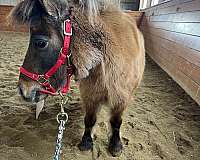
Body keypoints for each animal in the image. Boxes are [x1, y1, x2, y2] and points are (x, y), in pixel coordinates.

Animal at [9, 0, 145, 157]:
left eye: (41, 43)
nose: (22, 90)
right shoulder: (91, 94)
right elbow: (90, 119)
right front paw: (86, 142)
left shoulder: (122, 98)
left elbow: (116, 122)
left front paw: (116, 144)